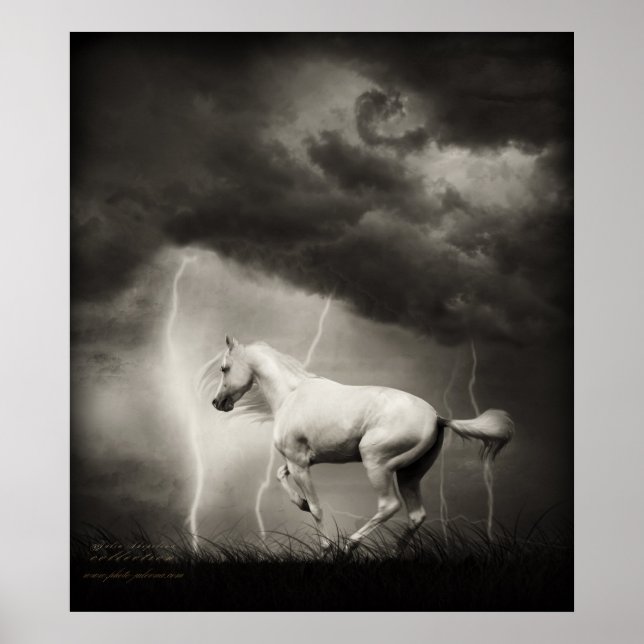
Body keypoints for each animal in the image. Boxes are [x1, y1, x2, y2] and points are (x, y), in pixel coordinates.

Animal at [209, 334, 514, 551]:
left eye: (224, 368)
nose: (217, 403)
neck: (291, 395)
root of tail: (437, 417)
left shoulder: (299, 463)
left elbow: (317, 507)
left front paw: (325, 547)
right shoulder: (299, 461)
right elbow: (280, 476)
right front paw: (301, 503)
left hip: (377, 464)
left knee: (389, 506)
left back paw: (349, 545)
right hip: (409, 474)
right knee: (416, 515)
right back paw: (393, 552)